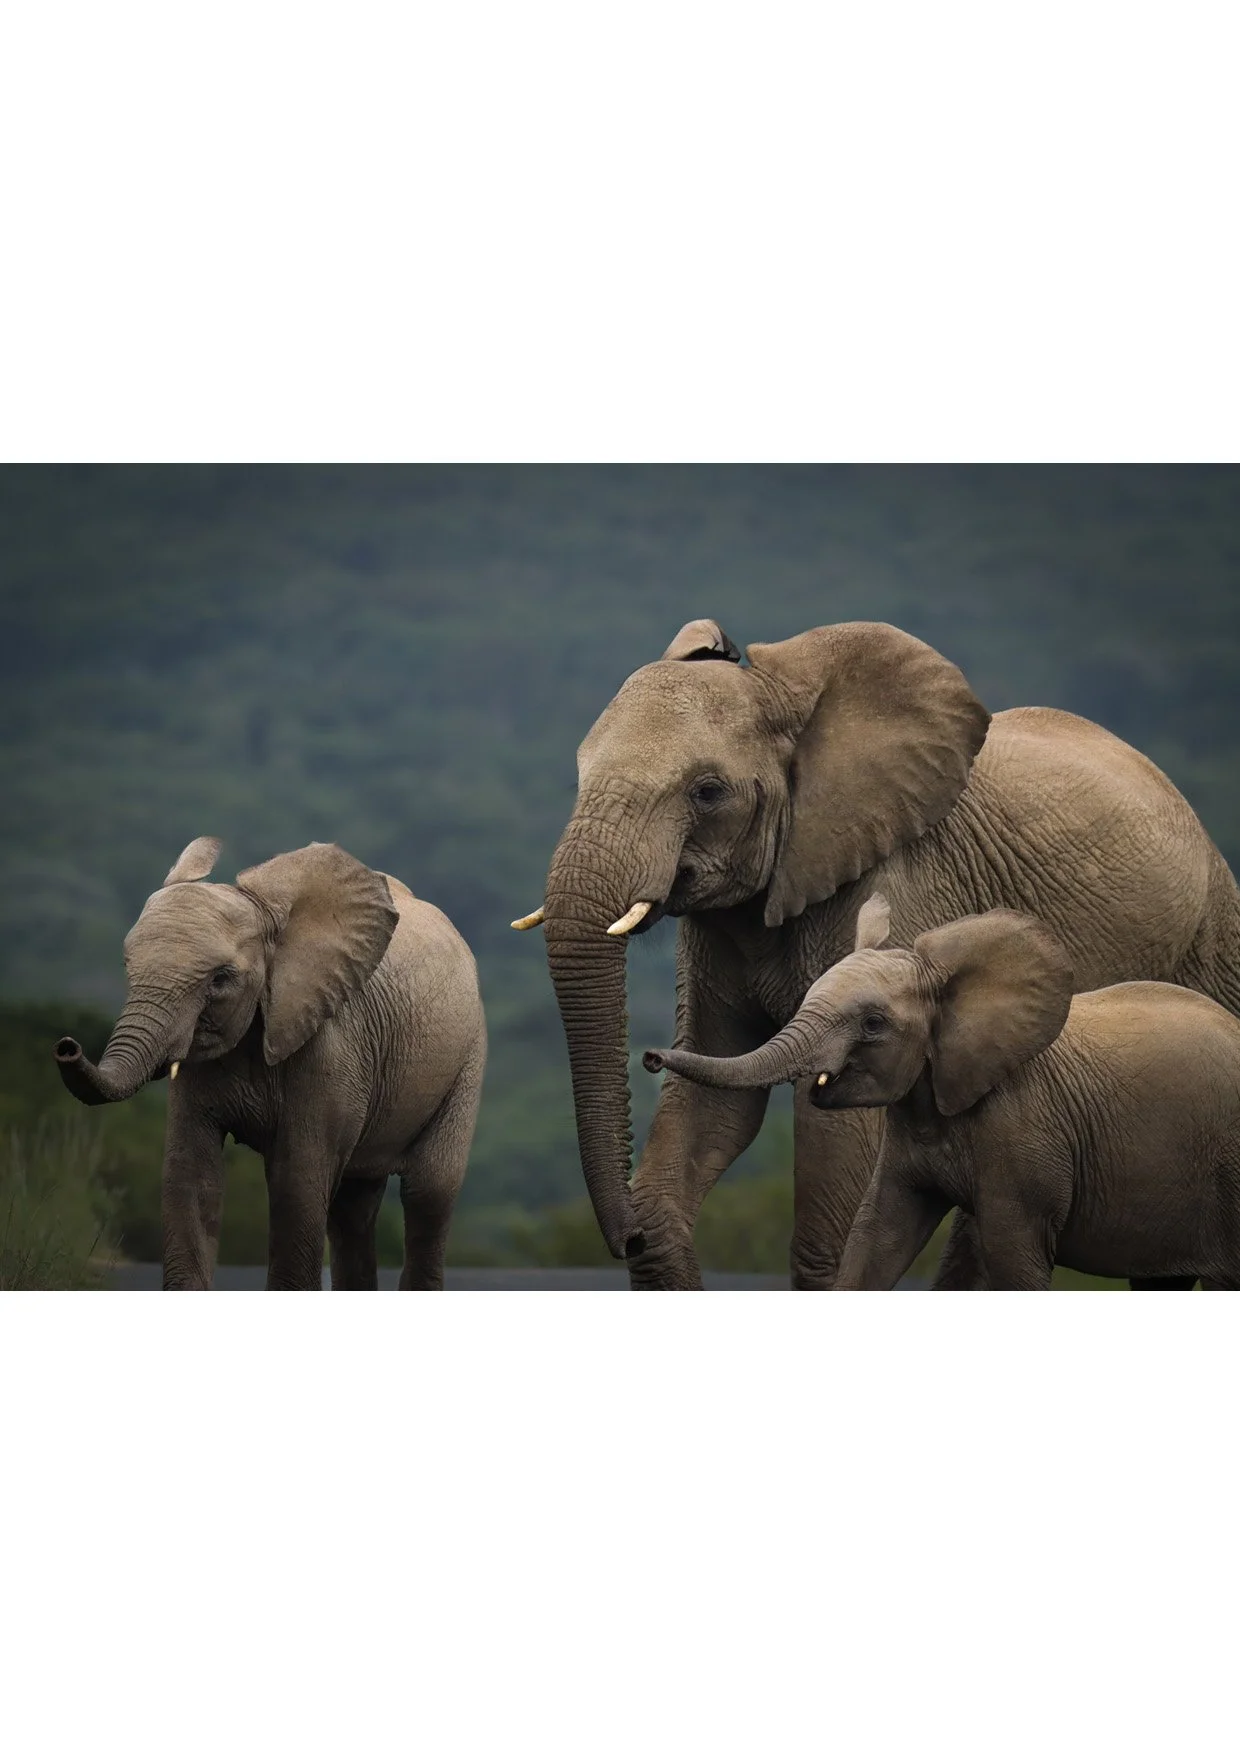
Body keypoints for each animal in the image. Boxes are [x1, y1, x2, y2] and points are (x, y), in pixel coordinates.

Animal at [55, 838, 486, 1290]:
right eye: (127, 966)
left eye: (220, 979)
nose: (66, 1046)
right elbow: (190, 1175)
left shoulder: (332, 1045)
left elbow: (296, 1181)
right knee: (354, 1207)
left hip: (467, 1055)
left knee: (428, 1192)